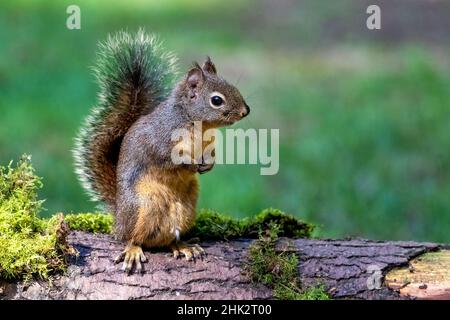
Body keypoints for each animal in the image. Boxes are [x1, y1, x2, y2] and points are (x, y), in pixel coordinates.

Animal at [73, 30, 250, 274]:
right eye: (216, 100)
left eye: (233, 86)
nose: (245, 111)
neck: (197, 124)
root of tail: (118, 219)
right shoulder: (160, 141)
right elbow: (168, 158)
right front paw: (191, 164)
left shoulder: (209, 144)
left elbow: (212, 155)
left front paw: (209, 164)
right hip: (144, 205)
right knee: (133, 237)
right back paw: (133, 250)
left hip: (185, 209)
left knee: (168, 238)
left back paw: (183, 245)